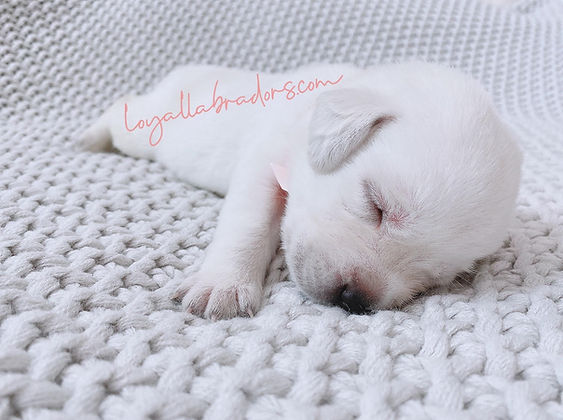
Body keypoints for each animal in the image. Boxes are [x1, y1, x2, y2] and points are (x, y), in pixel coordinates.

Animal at [80, 61, 524, 318]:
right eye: (376, 205)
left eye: (435, 277)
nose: (353, 299)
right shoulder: (263, 161)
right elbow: (250, 223)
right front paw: (222, 285)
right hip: (151, 130)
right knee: (125, 109)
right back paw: (89, 138)